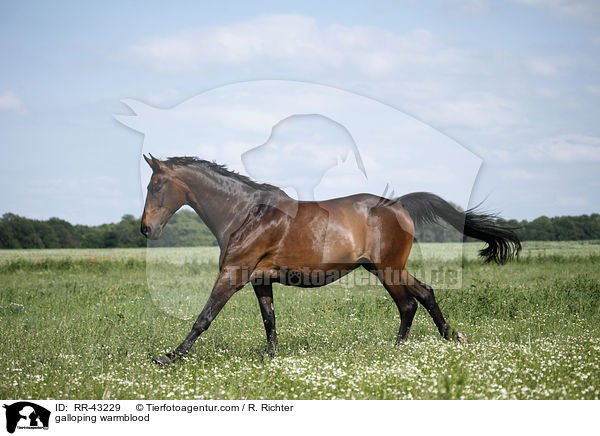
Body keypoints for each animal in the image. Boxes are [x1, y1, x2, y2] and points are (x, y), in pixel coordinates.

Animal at [141, 154, 520, 364]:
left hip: (389, 269)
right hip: (384, 268)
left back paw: (404, 348)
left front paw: (168, 357)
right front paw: (271, 359)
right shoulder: (260, 280)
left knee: (410, 302)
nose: (147, 229)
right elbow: (270, 321)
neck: (246, 214)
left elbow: (203, 318)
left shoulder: (233, 275)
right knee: (423, 294)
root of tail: (399, 205)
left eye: (156, 185)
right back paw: (448, 337)